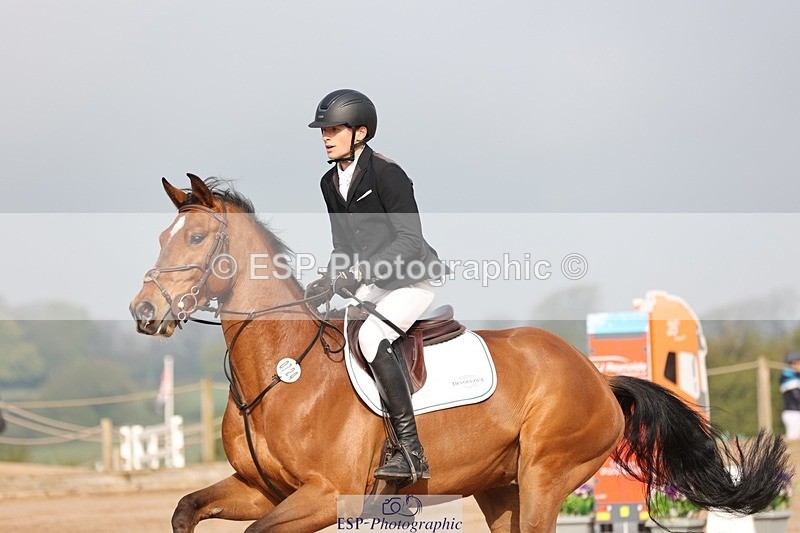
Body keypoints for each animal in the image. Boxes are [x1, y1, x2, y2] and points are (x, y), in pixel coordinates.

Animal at [130, 174, 789, 533]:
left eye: (196, 237)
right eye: (161, 237)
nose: (143, 312)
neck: (282, 374)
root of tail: (599, 379)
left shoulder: (322, 495)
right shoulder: (262, 489)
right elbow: (185, 509)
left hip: (547, 475)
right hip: (500, 487)